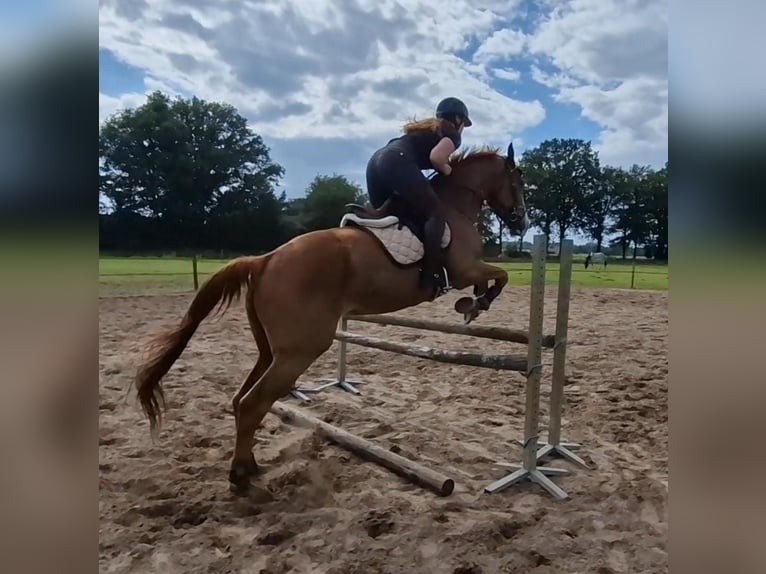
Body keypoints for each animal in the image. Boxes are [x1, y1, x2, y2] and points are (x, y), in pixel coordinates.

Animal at [134, 142, 528, 492]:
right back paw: (241, 476)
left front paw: (474, 303)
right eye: (518, 182)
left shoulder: (469, 270)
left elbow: (495, 278)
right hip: (302, 349)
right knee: (252, 403)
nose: (521, 223)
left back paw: (251, 465)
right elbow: (500, 276)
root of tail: (265, 259)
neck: (454, 206)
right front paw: (477, 304)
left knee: (242, 400)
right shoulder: (464, 269)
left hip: (272, 350)